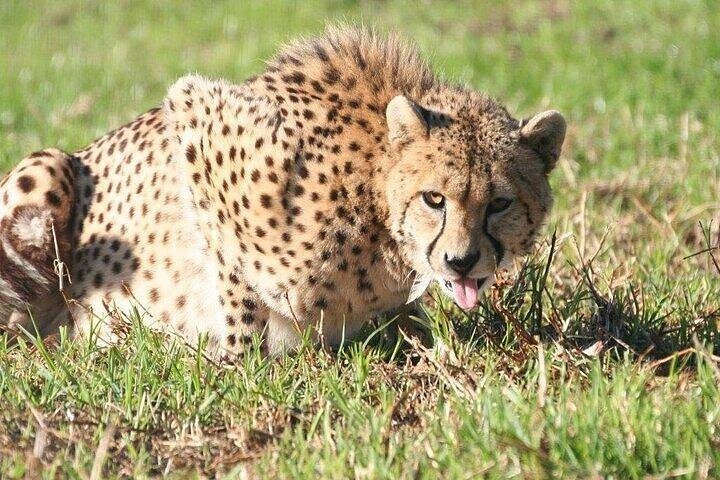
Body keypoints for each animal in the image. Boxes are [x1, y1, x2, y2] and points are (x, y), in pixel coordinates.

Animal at [0, 26, 566, 357]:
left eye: (499, 203)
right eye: (434, 199)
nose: (461, 261)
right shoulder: (198, 120)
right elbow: (237, 292)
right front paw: (235, 364)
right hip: (46, 170)